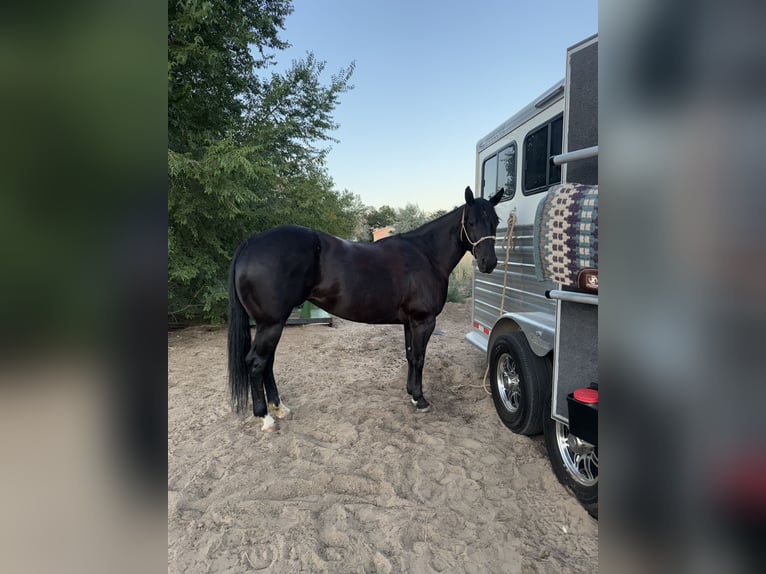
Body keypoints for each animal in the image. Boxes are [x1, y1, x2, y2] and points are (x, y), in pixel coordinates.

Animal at [227, 186, 503, 430]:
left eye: (495, 221)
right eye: (472, 222)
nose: (488, 262)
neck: (426, 255)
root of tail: (252, 243)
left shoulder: (409, 322)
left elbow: (409, 355)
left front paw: (411, 393)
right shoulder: (423, 321)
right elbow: (419, 357)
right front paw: (420, 399)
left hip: (271, 324)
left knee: (268, 362)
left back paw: (279, 408)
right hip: (271, 324)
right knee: (256, 362)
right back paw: (265, 418)